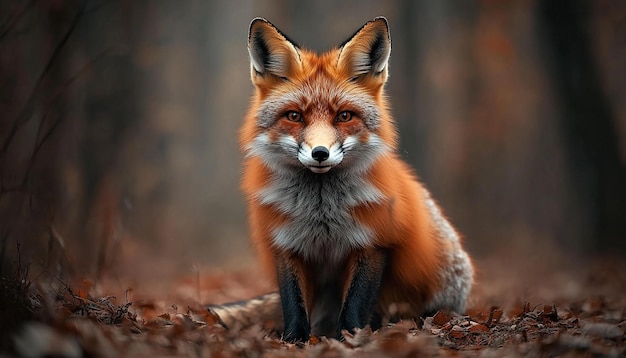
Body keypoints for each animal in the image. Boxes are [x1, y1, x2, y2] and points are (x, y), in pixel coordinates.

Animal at [212, 16, 470, 342]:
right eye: (295, 116)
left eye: (344, 116)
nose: (320, 153)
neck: (321, 214)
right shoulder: (286, 245)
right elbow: (293, 303)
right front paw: (295, 341)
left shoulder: (373, 243)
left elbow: (355, 304)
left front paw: (351, 338)